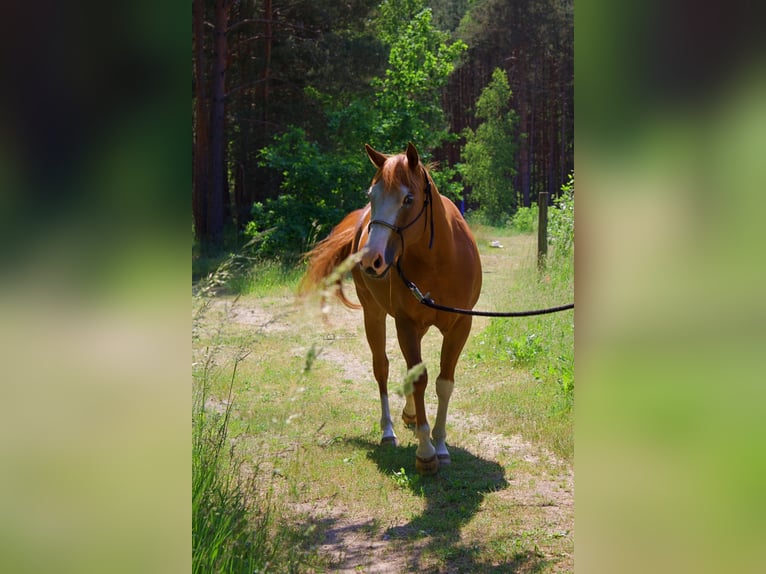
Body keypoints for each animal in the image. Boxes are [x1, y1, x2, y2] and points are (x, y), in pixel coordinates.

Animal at [304, 144, 484, 476]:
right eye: (371, 195)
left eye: (408, 199)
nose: (369, 259)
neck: (439, 260)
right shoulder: (406, 324)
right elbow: (418, 378)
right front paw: (426, 452)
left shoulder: (459, 327)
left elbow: (443, 382)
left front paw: (440, 446)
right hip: (373, 314)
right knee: (382, 368)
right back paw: (388, 431)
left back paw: (411, 414)